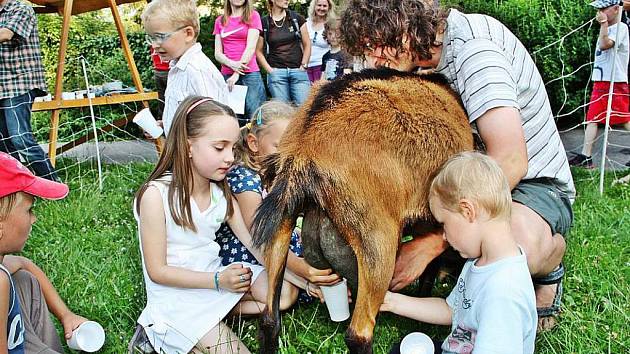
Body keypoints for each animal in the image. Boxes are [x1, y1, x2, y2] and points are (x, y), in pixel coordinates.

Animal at [252, 69, 474, 354]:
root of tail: (304, 147)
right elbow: (430, 266)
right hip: (376, 238)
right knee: (359, 333)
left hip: (281, 219)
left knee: (269, 318)